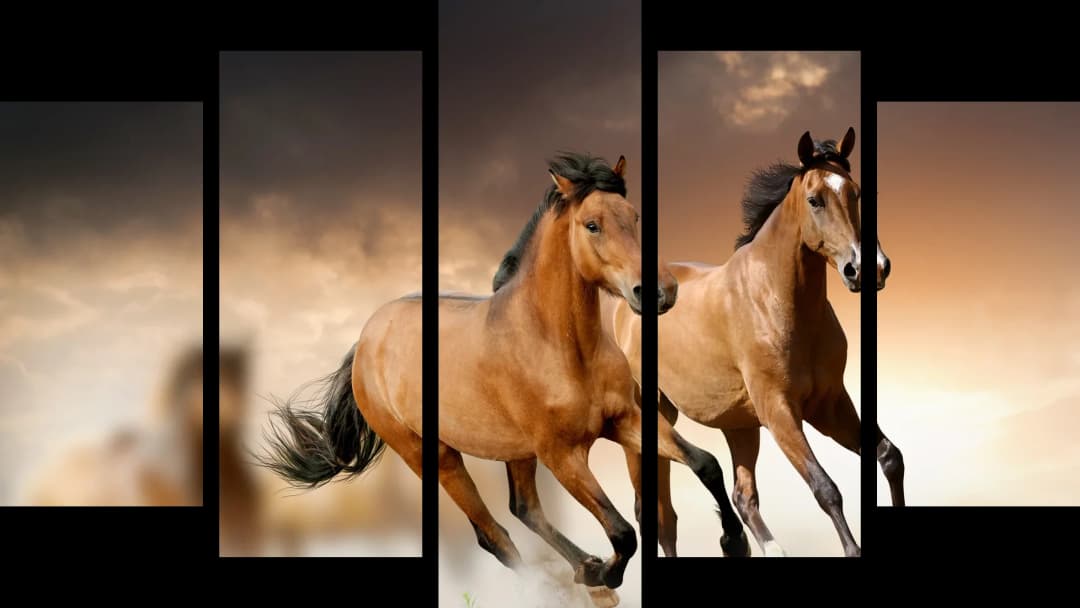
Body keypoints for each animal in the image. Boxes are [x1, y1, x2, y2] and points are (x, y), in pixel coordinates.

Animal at [260, 153, 749, 604]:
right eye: (592, 225)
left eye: (635, 217)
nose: (660, 292)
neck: (561, 345)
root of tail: (366, 340)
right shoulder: (562, 454)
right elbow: (622, 531)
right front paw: (604, 575)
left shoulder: (625, 420)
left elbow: (705, 463)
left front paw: (735, 542)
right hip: (433, 456)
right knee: (493, 534)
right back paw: (571, 583)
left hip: (515, 451)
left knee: (524, 508)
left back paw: (582, 569)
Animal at [613, 128, 905, 558]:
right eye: (815, 200)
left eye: (858, 193)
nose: (869, 269)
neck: (776, 299)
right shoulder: (779, 410)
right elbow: (826, 488)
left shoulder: (829, 405)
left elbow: (888, 457)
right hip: (655, 416)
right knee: (658, 513)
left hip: (739, 425)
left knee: (740, 498)